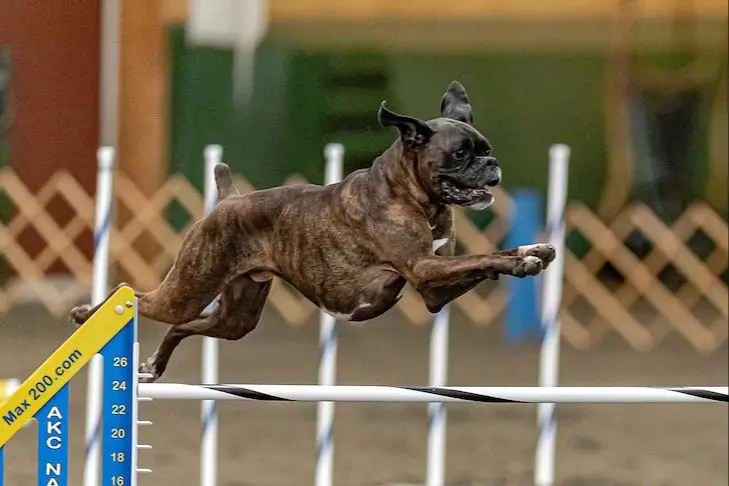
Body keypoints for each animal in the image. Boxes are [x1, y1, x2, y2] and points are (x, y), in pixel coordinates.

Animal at [71, 80, 556, 384]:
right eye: (460, 153)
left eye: (486, 149)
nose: (492, 164)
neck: (413, 194)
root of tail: (228, 199)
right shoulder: (423, 268)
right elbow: (482, 257)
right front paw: (522, 259)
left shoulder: (435, 289)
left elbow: (480, 262)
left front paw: (532, 251)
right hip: (188, 287)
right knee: (132, 294)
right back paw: (85, 314)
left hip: (235, 318)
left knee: (182, 325)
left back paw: (153, 365)